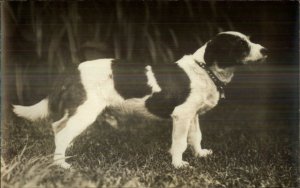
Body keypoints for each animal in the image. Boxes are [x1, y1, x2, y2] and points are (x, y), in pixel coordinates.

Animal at [13, 31, 268, 169]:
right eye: (241, 45)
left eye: (249, 40)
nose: (265, 50)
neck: (204, 69)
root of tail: (72, 70)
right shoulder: (181, 115)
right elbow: (180, 142)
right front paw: (178, 164)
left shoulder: (192, 115)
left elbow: (196, 137)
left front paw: (200, 154)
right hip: (86, 111)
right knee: (62, 132)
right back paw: (61, 163)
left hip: (77, 110)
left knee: (59, 128)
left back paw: (66, 152)